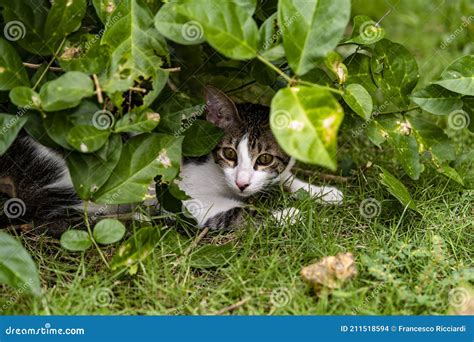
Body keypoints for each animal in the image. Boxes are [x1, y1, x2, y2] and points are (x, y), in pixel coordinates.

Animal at [0, 87, 340, 234]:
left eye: (265, 158)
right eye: (229, 154)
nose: (242, 183)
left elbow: (284, 177)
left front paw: (322, 191)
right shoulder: (185, 196)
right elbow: (235, 212)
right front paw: (291, 214)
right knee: (55, 217)